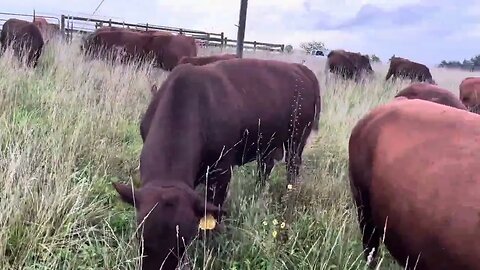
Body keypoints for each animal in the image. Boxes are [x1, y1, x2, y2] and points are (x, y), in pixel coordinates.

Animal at [114, 57, 320, 270]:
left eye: (183, 244)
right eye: (140, 239)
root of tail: (299, 68)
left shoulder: (221, 172)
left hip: (297, 138)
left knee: (292, 167)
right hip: (267, 144)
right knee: (265, 167)